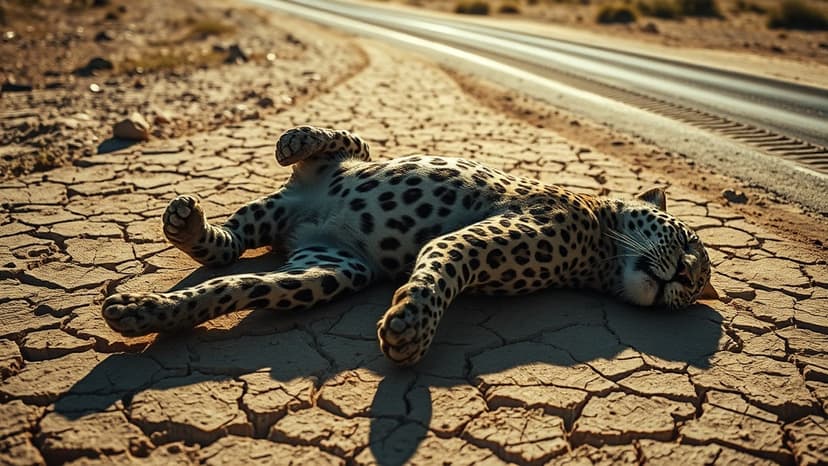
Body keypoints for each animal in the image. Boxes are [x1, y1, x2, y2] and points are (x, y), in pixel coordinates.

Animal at [103, 125, 715, 366]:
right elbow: (439, 271)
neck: (597, 254)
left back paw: (140, 306)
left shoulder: (476, 252)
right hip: (337, 174)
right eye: (688, 241)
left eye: (697, 289)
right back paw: (292, 141)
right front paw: (413, 327)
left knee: (233, 266)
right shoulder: (470, 239)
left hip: (326, 270)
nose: (686, 279)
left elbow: (442, 269)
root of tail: (302, 214)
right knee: (346, 142)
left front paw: (409, 330)